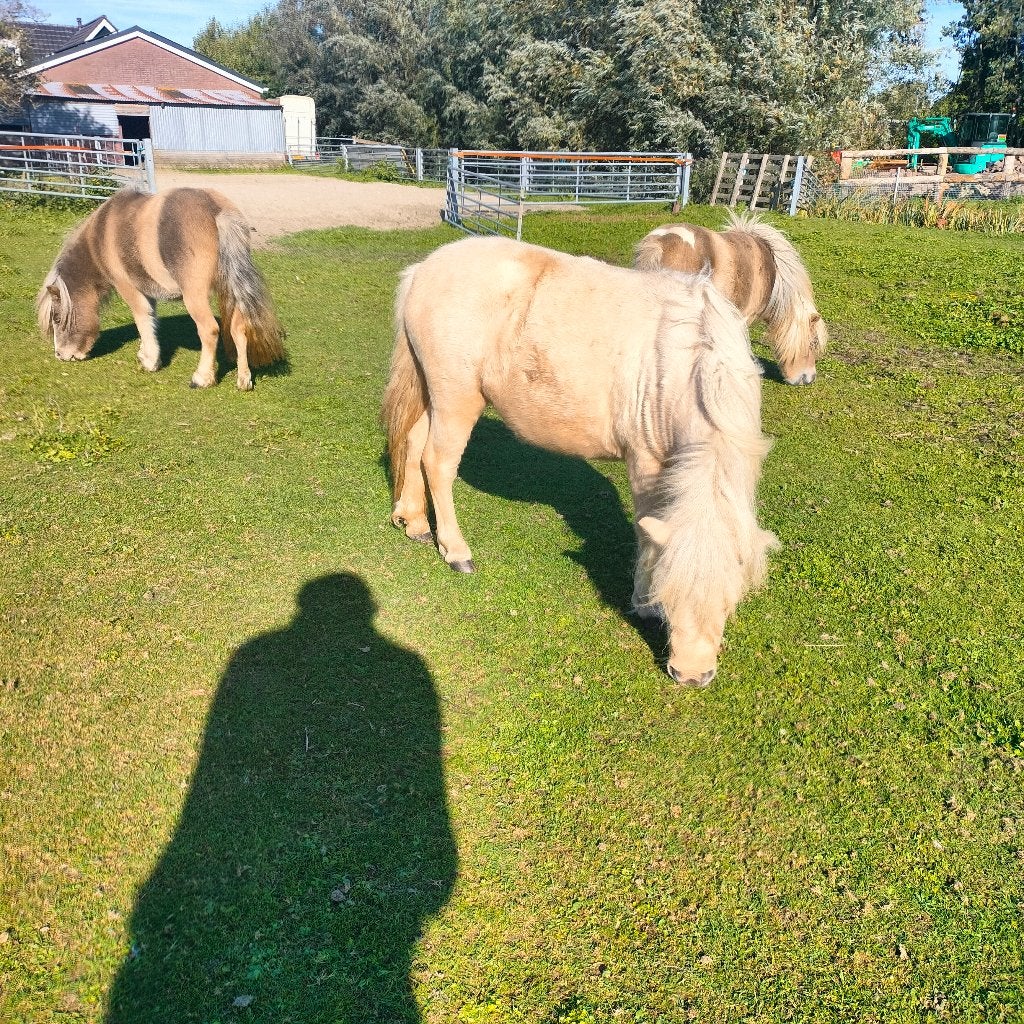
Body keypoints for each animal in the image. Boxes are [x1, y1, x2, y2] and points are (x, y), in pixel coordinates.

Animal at [36, 187, 285, 390]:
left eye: (57, 318)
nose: (61, 355)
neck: (102, 233)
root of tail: (217, 210)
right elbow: (151, 319)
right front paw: (145, 352)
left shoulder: (129, 288)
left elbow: (142, 318)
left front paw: (150, 361)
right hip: (229, 290)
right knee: (239, 329)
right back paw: (244, 379)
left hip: (195, 296)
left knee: (210, 330)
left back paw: (202, 378)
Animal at [382, 236, 777, 686]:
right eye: (671, 595)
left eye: (729, 602)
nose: (691, 676)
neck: (689, 358)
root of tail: (423, 270)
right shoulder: (645, 462)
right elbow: (646, 531)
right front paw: (643, 601)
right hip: (456, 395)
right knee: (438, 462)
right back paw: (455, 549)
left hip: (429, 387)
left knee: (413, 441)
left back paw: (413, 520)